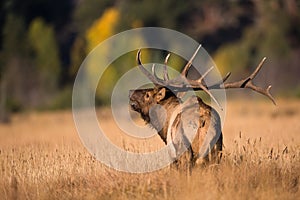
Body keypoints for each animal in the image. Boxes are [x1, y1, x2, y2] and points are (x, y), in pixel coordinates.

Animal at [128, 45, 274, 169]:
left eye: (148, 95)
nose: (131, 92)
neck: (165, 123)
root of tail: (202, 120)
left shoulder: (172, 155)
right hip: (216, 151)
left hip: (184, 150)